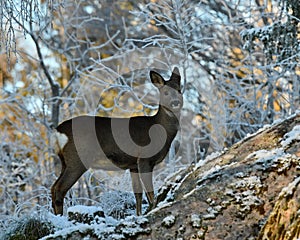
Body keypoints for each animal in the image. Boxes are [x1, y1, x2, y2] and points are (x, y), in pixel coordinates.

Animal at [51, 67, 183, 216]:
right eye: (165, 92)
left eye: (179, 90)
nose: (175, 102)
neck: (159, 130)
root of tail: (58, 132)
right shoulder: (144, 159)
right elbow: (149, 192)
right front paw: (152, 210)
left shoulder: (133, 165)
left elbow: (138, 193)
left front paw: (138, 215)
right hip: (77, 158)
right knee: (59, 188)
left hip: (65, 161)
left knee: (53, 187)